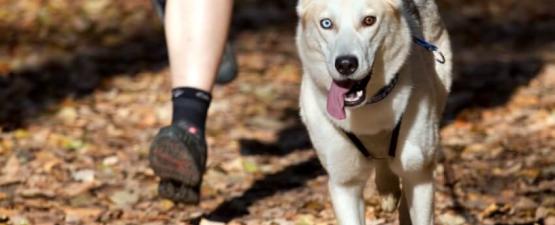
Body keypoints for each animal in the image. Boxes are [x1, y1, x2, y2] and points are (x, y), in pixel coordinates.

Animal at [296, 0, 452, 223]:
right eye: (326, 23)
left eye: (369, 20)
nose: (345, 64)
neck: (368, 109)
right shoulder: (344, 183)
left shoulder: (419, 176)